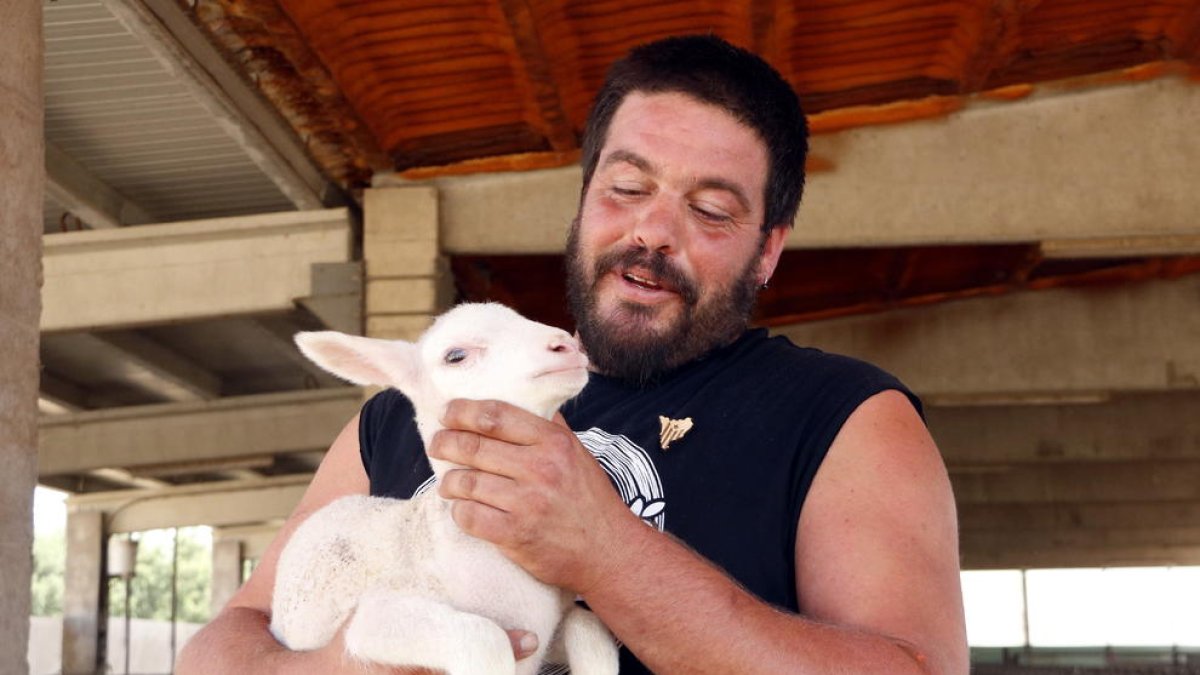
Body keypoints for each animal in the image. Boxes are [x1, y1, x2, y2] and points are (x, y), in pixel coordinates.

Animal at [271, 302, 619, 672]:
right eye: (455, 356)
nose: (564, 344)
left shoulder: (546, 633)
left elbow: (588, 627)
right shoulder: (377, 618)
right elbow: (485, 639)